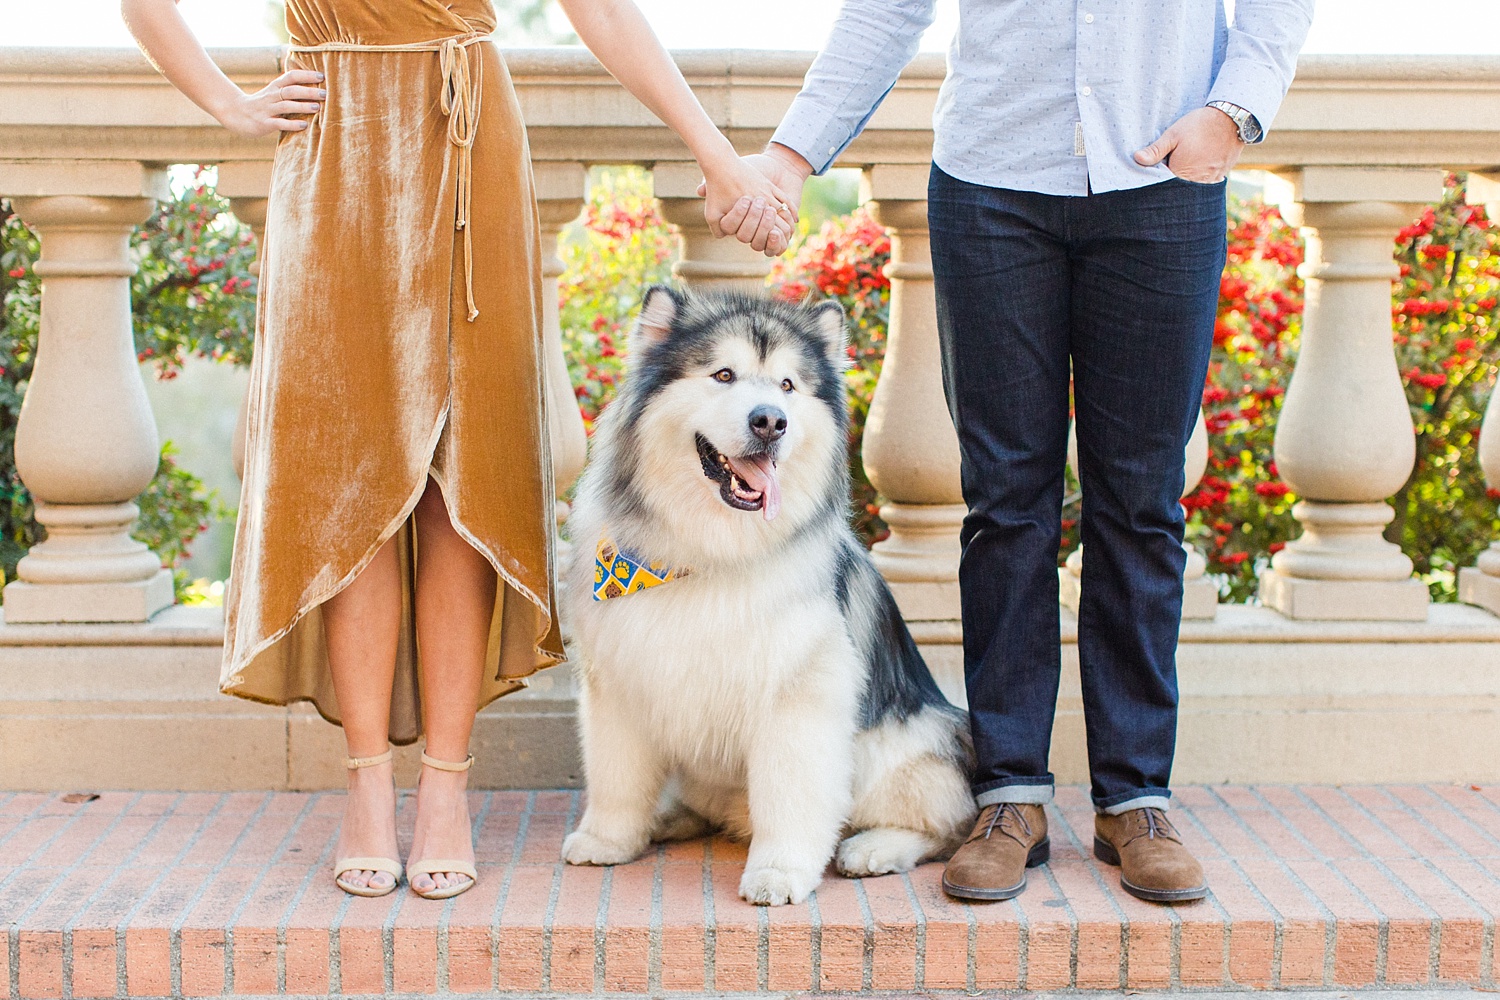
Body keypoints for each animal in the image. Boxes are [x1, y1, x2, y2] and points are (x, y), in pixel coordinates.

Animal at [561, 284, 972, 905]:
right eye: (723, 374)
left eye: (787, 386)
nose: (770, 421)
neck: (713, 552)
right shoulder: (621, 680)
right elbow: (616, 777)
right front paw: (609, 838)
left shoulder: (797, 693)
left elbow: (790, 795)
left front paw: (779, 872)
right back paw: (669, 817)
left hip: (903, 744)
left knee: (945, 821)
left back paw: (875, 848)